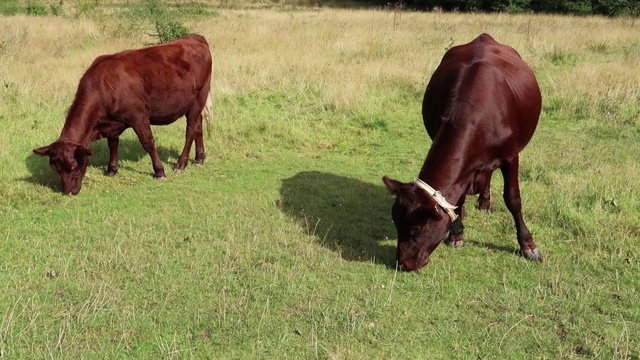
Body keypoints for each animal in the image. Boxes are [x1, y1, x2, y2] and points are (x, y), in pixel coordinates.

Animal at [33, 34, 214, 194]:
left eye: (72, 165)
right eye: (55, 168)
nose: (68, 191)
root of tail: (194, 37)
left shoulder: (138, 116)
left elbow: (148, 142)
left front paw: (159, 171)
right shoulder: (111, 123)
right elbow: (112, 143)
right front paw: (111, 169)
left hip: (199, 97)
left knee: (191, 130)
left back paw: (181, 164)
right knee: (198, 126)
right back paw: (199, 158)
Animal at [382, 33, 544, 272]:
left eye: (417, 229)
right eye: (397, 224)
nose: (403, 263)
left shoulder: (511, 156)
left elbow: (513, 199)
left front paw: (528, 245)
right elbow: (457, 197)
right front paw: (456, 234)